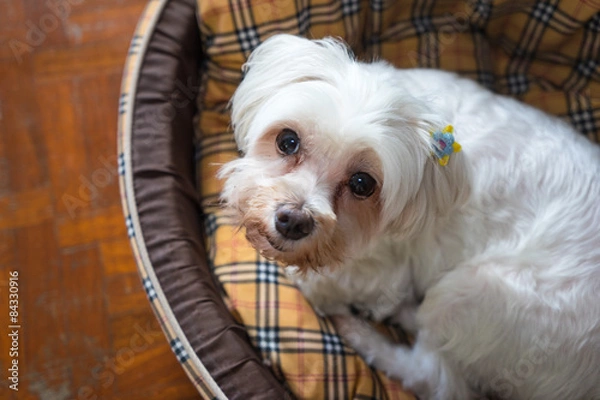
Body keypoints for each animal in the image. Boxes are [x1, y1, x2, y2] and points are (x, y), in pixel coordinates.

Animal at [219, 35, 600, 400]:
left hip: (475, 295)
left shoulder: (383, 267)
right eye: (287, 140)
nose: (294, 220)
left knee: (436, 378)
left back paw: (364, 334)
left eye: (362, 183)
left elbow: (326, 283)